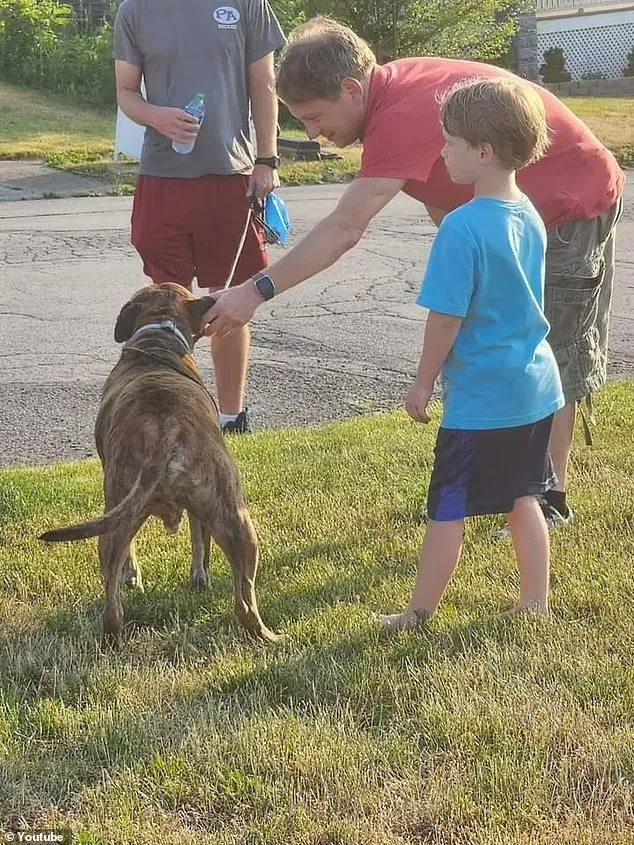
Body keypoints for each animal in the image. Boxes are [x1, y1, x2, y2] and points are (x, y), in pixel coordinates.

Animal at [40, 284, 276, 648]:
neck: (159, 335)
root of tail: (168, 426)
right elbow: (200, 544)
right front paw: (200, 579)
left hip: (117, 520)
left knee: (113, 603)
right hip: (238, 522)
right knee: (245, 603)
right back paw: (269, 635)